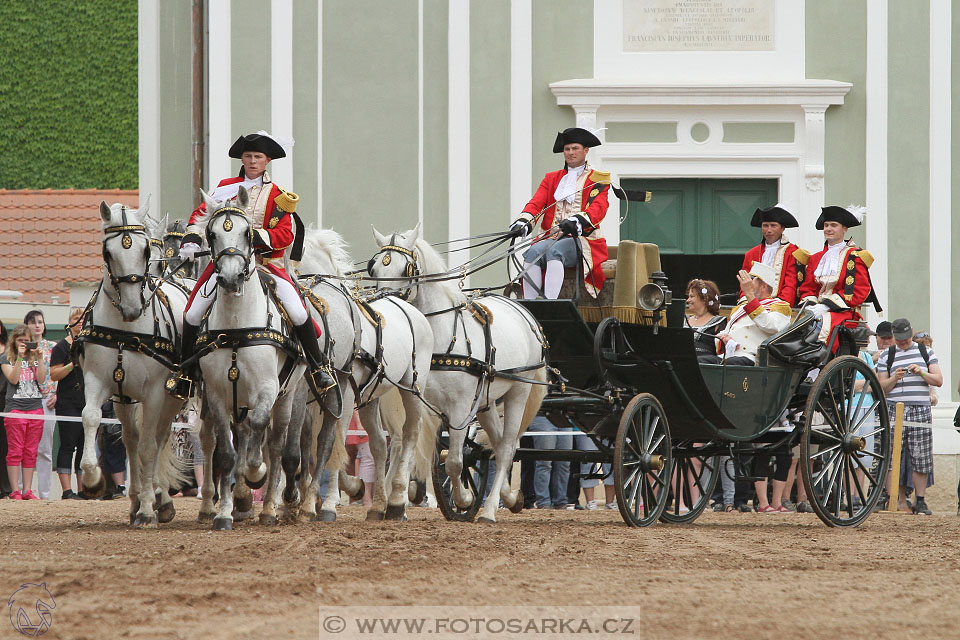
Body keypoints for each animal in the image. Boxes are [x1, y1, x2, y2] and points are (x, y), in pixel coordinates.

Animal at [77, 202, 189, 528]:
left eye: (145, 250)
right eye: (107, 252)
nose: (131, 308)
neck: (127, 330)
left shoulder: (155, 392)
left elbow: (150, 446)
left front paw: (149, 509)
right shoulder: (99, 381)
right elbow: (90, 417)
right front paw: (93, 479)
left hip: (173, 395)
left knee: (158, 437)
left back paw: (158, 499)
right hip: (125, 398)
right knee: (132, 439)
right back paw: (140, 498)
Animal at [189, 186, 306, 528]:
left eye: (247, 232)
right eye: (212, 234)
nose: (230, 279)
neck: (237, 326)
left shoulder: (268, 388)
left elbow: (260, 428)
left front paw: (256, 473)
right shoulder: (217, 394)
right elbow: (227, 454)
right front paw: (224, 513)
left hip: (288, 395)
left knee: (276, 443)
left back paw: (268, 507)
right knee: (234, 437)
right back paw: (239, 501)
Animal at [298, 228, 434, 524]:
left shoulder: (345, 394)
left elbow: (334, 439)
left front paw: (328, 504)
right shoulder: (313, 397)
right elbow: (312, 444)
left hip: (412, 387)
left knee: (410, 433)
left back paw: (397, 501)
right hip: (372, 396)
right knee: (380, 445)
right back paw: (378, 506)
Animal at [370, 225, 548, 524]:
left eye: (407, 268)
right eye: (374, 269)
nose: (387, 302)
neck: (440, 336)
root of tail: (523, 311)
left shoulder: (461, 407)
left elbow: (453, 460)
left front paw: (464, 499)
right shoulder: (422, 401)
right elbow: (414, 446)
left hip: (518, 392)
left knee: (507, 446)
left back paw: (488, 510)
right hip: (486, 401)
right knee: (497, 445)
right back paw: (510, 497)